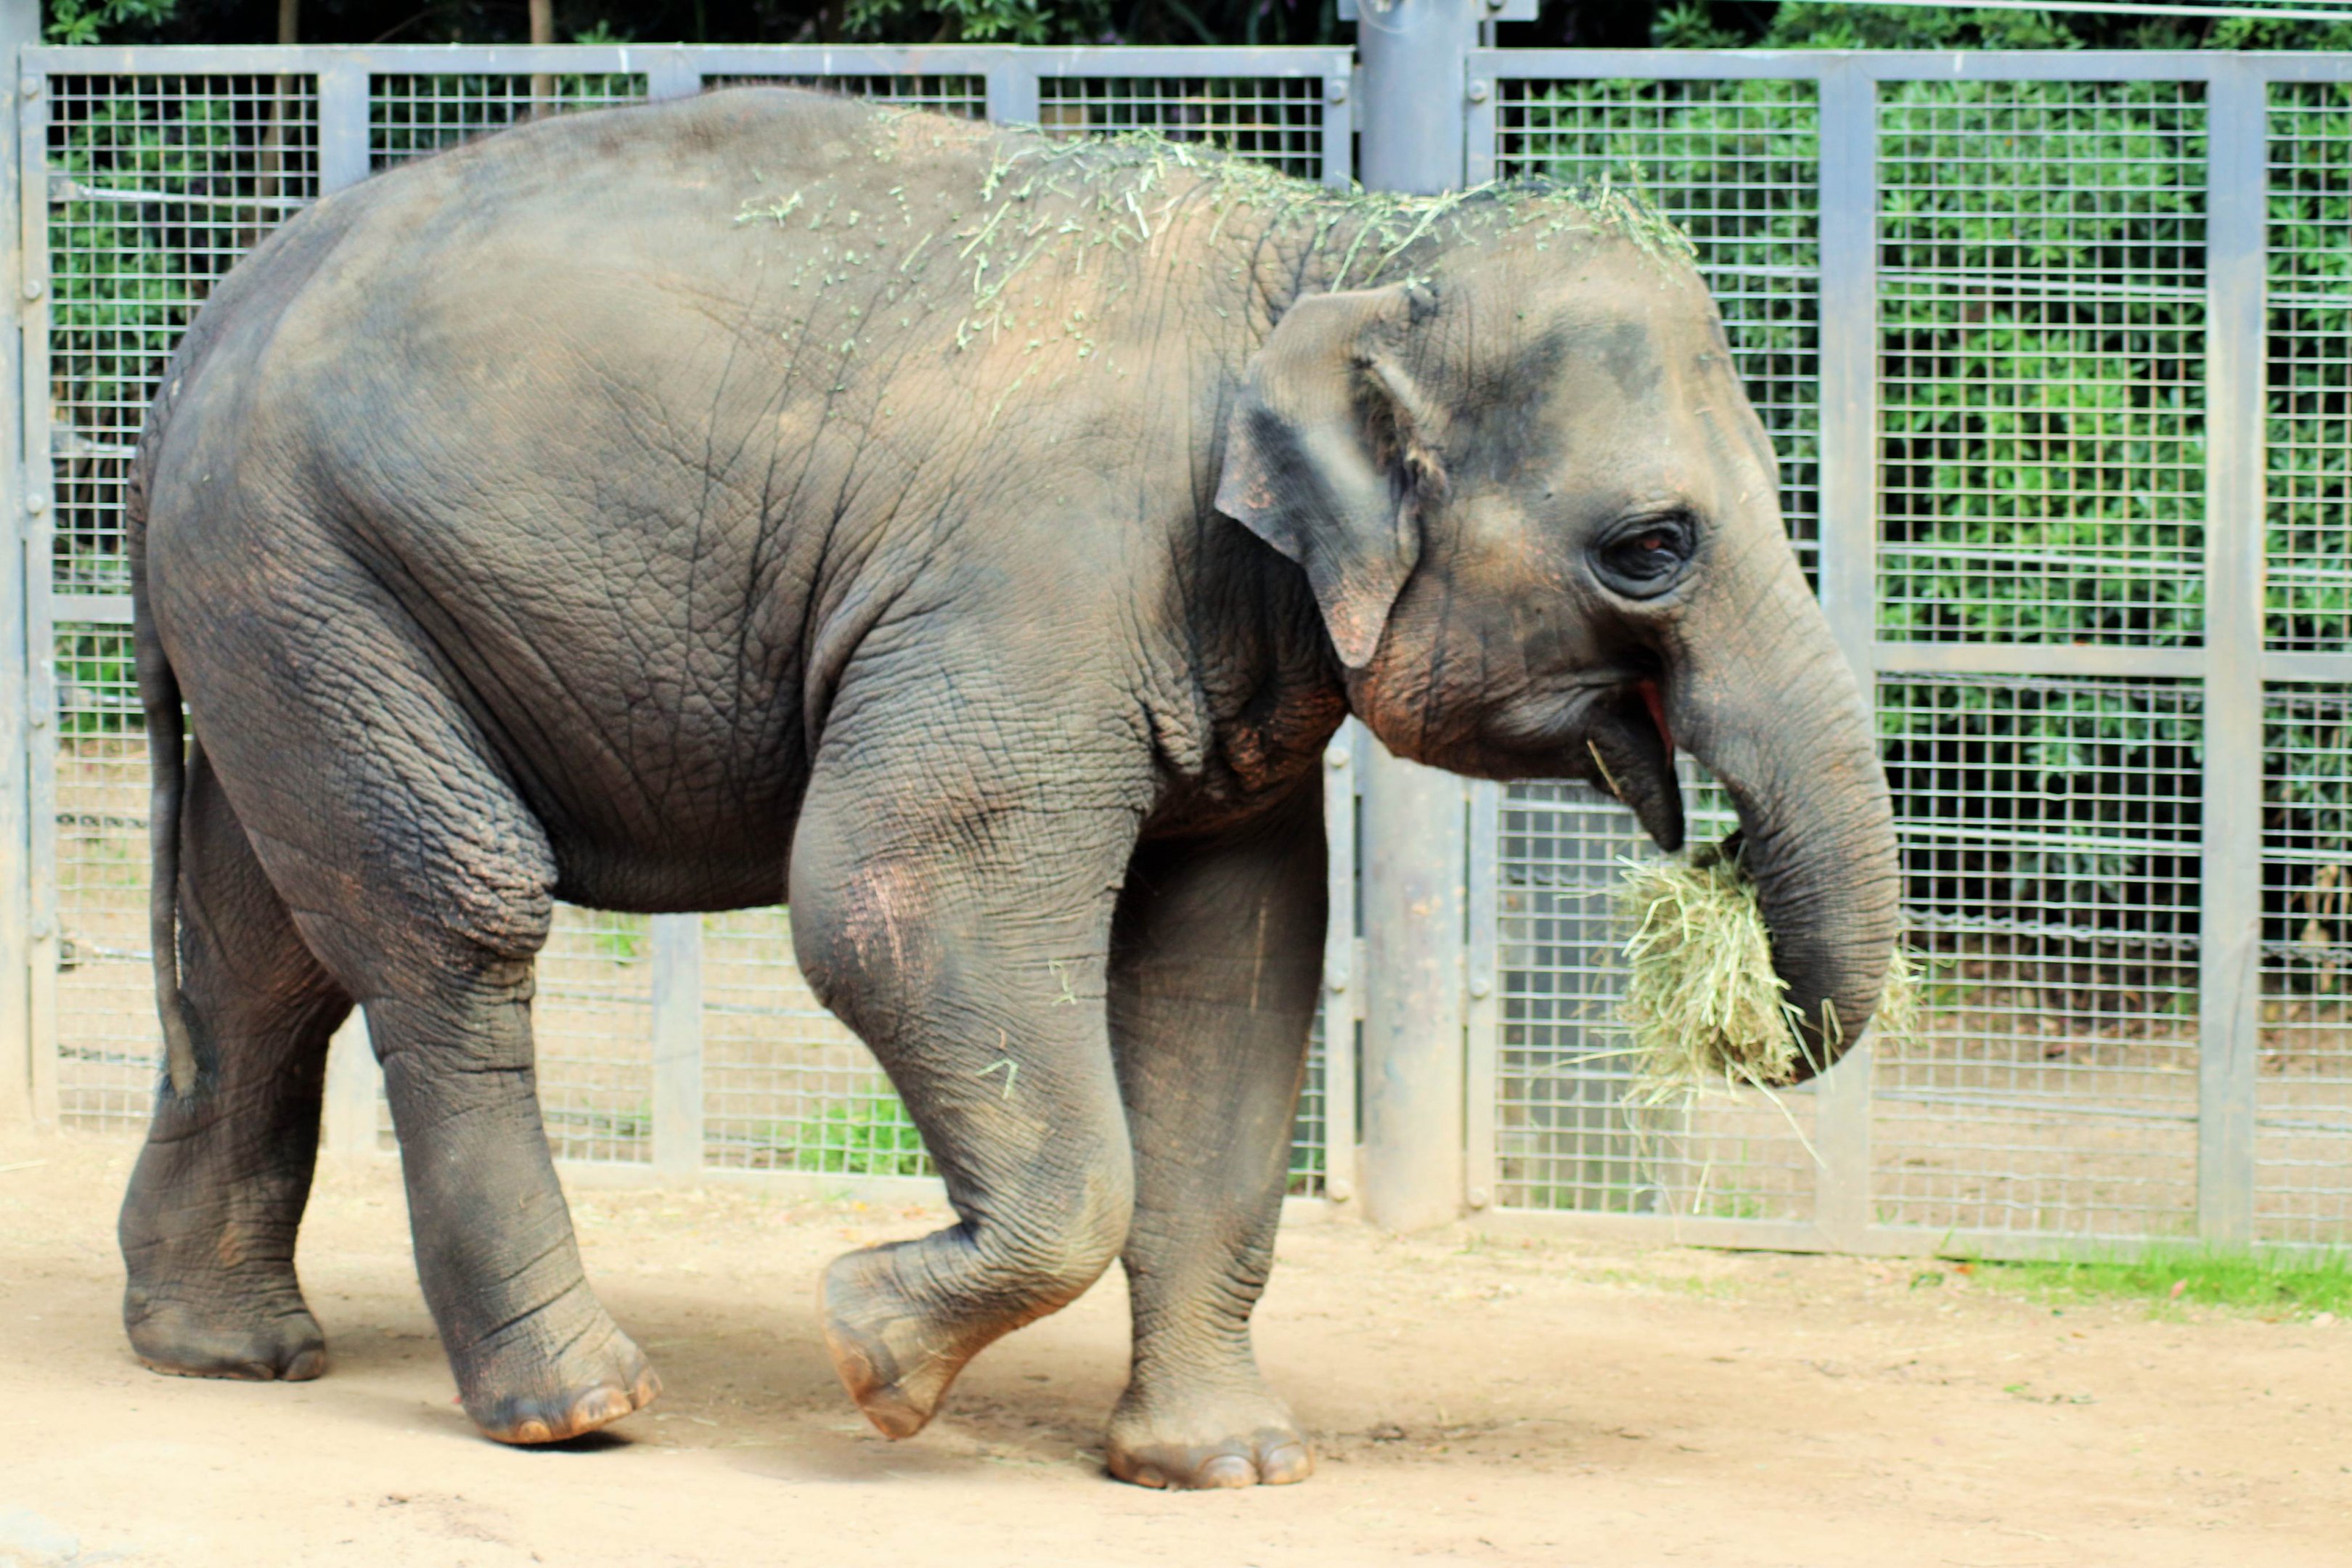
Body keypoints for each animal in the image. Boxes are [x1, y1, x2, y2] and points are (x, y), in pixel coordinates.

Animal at [118, 85, 1900, 1489]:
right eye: (1651, 548)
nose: (1728, 934)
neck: (1335, 244)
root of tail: (203, 328)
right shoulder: (1038, 583)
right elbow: (893, 897)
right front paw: (869, 1352)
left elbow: (1231, 971)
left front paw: (1225, 1468)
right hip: (305, 566)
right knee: (455, 917)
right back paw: (578, 1406)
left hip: (290, 612)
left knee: (267, 947)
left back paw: (224, 1351)